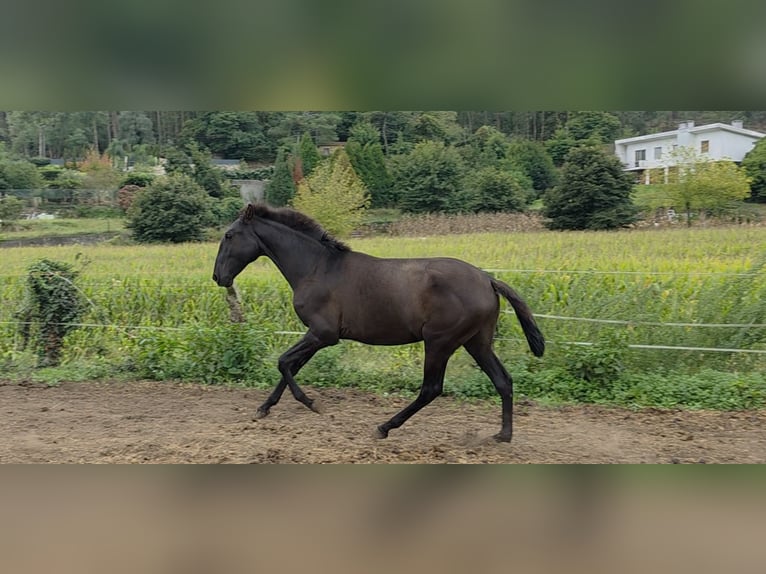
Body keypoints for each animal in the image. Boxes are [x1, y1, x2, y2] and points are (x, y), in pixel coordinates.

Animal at [212, 203, 544, 442]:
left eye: (229, 235)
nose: (218, 277)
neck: (317, 268)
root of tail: (488, 279)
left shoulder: (323, 334)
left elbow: (283, 362)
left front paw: (312, 403)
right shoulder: (317, 336)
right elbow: (290, 366)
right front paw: (263, 409)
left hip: (439, 342)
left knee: (431, 389)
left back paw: (384, 427)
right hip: (477, 342)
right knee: (503, 380)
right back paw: (503, 435)